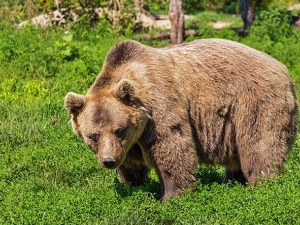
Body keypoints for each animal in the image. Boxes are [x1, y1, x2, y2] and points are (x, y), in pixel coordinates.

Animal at [64, 38, 298, 200]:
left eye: (119, 130)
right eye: (93, 135)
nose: (109, 161)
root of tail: (284, 69)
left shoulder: (160, 107)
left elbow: (172, 147)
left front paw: (171, 195)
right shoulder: (130, 142)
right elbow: (131, 163)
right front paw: (133, 185)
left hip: (254, 102)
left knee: (260, 145)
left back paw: (263, 183)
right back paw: (233, 180)